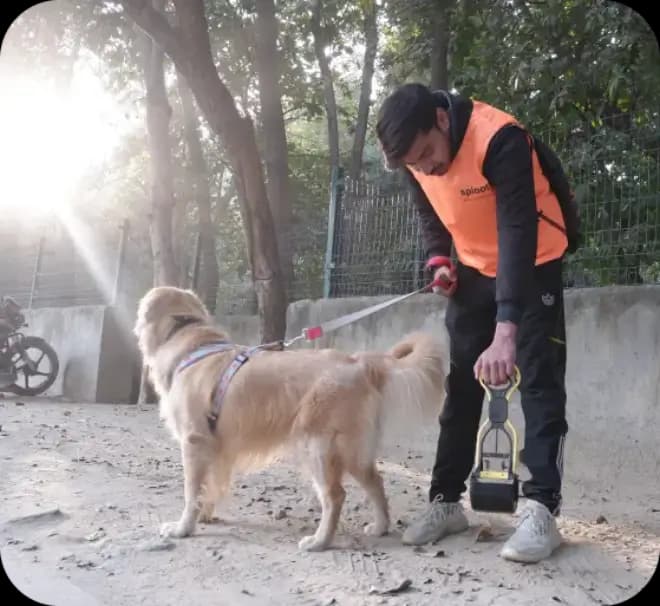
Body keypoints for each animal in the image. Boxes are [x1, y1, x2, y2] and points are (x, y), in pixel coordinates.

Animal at [132, 288, 446, 552]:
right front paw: (205, 515)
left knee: (335, 496)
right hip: (353, 450)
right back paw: (380, 526)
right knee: (375, 481)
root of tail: (358, 363)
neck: (192, 342)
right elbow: (211, 485)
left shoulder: (194, 441)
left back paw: (319, 541)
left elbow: (191, 491)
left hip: (317, 445)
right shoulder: (218, 447)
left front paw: (183, 528)